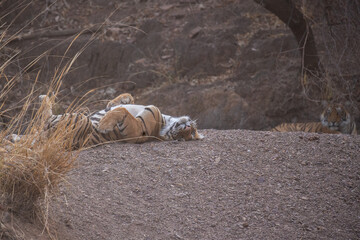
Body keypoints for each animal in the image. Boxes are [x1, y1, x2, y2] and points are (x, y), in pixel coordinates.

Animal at [6, 92, 202, 150]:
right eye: (192, 131)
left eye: (187, 136)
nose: (186, 127)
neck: (165, 120)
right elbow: (123, 103)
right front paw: (119, 100)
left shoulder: (135, 131)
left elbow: (122, 111)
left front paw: (103, 125)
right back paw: (11, 138)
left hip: (77, 119)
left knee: (46, 118)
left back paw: (44, 98)